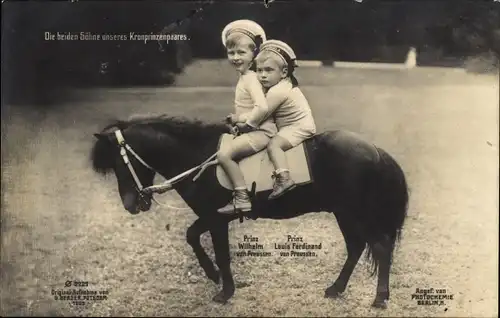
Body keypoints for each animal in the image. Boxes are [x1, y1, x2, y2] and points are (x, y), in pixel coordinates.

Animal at [91, 114, 410, 308]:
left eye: (120, 164)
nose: (131, 204)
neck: (198, 157)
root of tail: (376, 151)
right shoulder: (213, 216)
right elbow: (192, 236)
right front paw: (213, 275)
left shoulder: (216, 218)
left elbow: (220, 252)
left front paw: (224, 290)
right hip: (344, 213)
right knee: (356, 248)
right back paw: (336, 288)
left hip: (356, 213)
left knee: (380, 248)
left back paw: (380, 298)